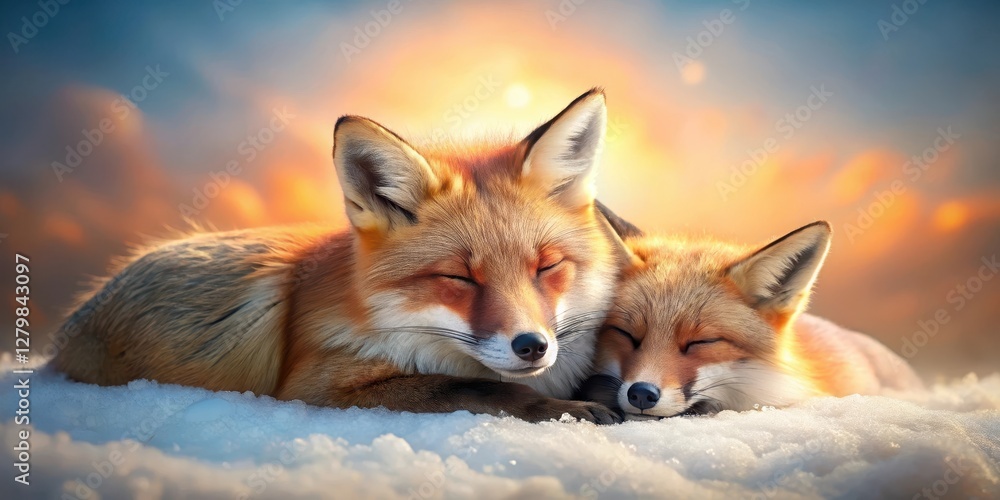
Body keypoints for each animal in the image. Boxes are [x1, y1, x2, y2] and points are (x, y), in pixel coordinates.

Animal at [52, 89, 628, 423]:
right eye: (459, 278)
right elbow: (476, 387)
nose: (532, 346)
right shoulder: (315, 386)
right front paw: (567, 409)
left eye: (546, 267)